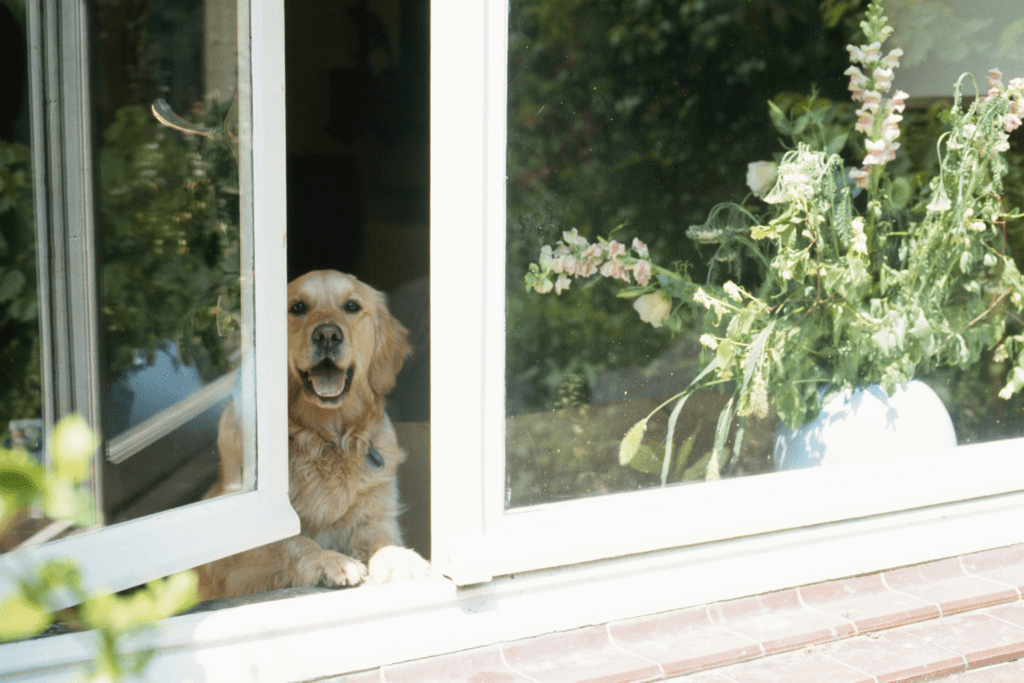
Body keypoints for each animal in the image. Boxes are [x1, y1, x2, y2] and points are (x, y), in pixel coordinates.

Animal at [197, 270, 430, 602]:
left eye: (352, 306)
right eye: (297, 307)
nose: (328, 335)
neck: (325, 440)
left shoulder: (377, 513)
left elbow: (381, 538)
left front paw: (399, 558)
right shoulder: (238, 558)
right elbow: (293, 542)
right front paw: (331, 561)